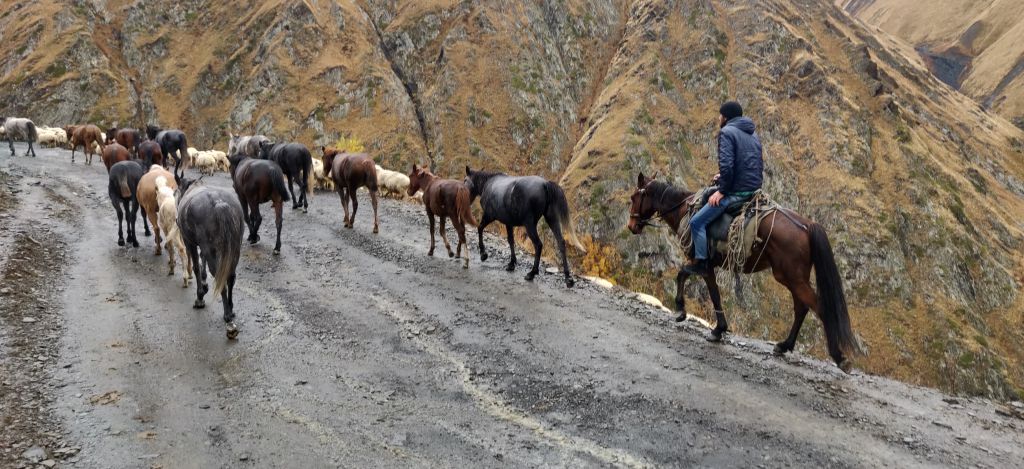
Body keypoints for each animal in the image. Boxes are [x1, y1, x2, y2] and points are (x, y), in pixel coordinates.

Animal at [174, 172, 244, 339]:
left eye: (177, 191)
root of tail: (219, 203)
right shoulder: (204, 247)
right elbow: (202, 261)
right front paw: (204, 285)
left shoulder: (190, 242)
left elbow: (196, 267)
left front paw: (200, 295)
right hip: (234, 249)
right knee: (230, 276)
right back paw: (230, 309)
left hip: (211, 248)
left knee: (220, 277)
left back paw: (228, 320)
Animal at [626, 172, 856, 372]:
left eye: (634, 197)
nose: (631, 226)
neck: (685, 209)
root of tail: (807, 225)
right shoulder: (709, 268)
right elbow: (715, 295)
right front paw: (719, 329)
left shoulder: (699, 263)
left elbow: (683, 275)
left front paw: (681, 311)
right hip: (794, 278)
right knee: (802, 308)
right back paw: (784, 345)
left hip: (791, 277)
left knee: (818, 307)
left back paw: (839, 357)